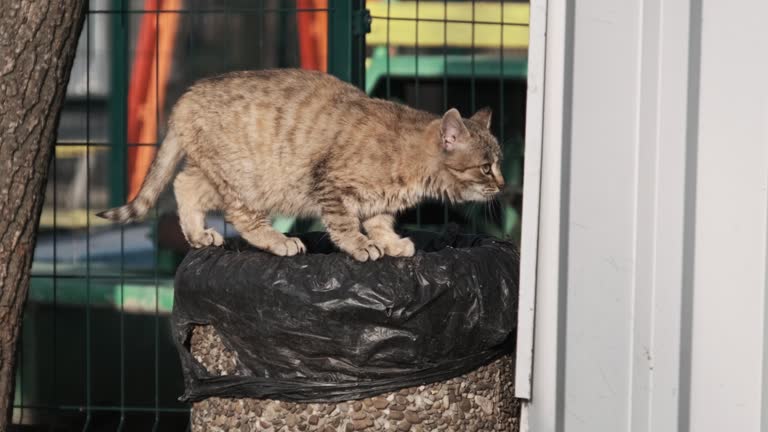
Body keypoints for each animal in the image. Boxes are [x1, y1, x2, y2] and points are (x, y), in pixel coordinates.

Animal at [97, 69, 504, 262]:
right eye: (486, 167)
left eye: (498, 163)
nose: (501, 184)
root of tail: (185, 97)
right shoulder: (329, 183)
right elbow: (344, 225)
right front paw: (360, 245)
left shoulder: (378, 201)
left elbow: (380, 222)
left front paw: (390, 243)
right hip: (246, 181)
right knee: (240, 216)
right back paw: (279, 241)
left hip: (220, 176)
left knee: (185, 184)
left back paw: (198, 234)